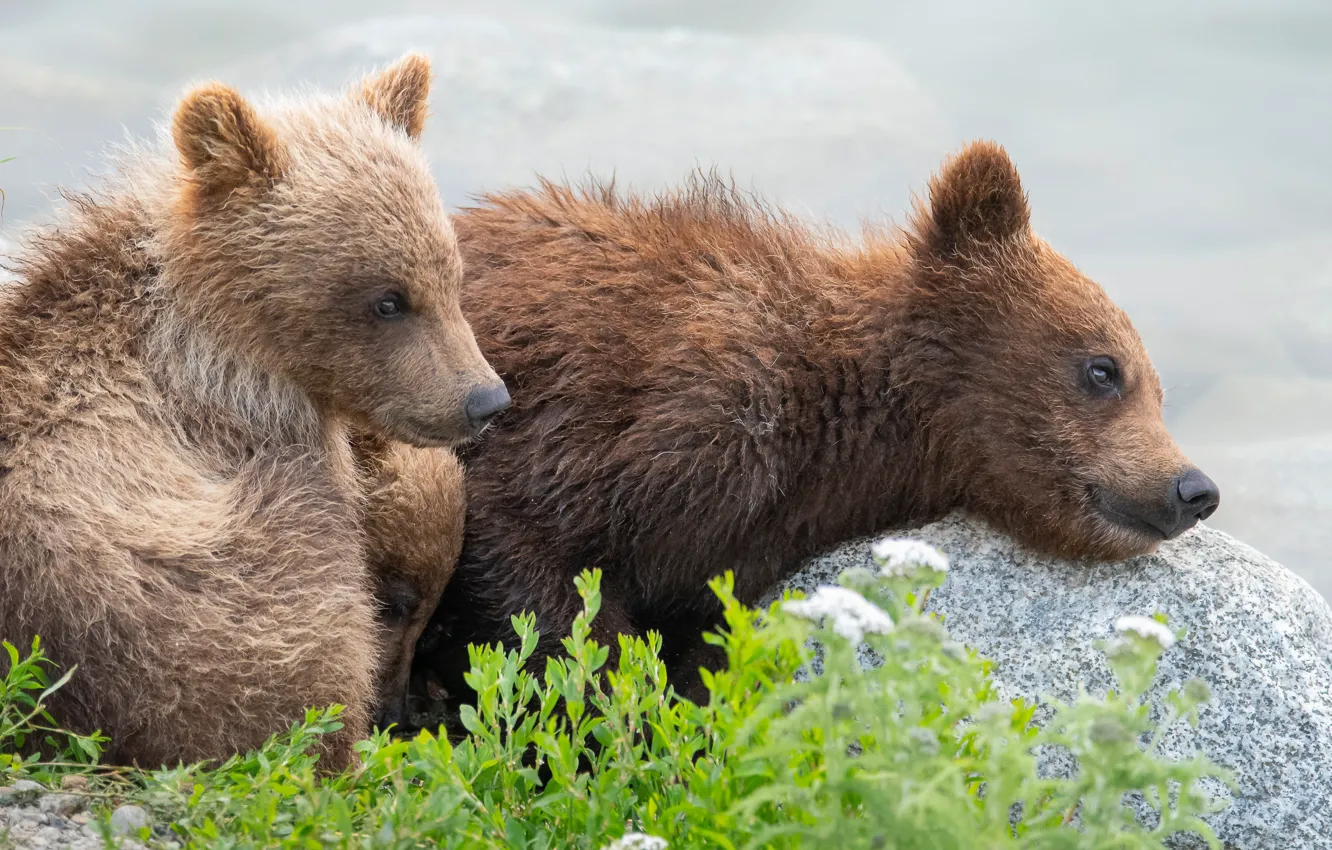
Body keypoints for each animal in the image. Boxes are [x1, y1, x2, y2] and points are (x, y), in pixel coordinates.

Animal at [419, 141, 1221, 702]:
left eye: (1160, 391)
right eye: (1103, 369)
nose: (1194, 488)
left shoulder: (749, 538)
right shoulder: (647, 410)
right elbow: (528, 547)